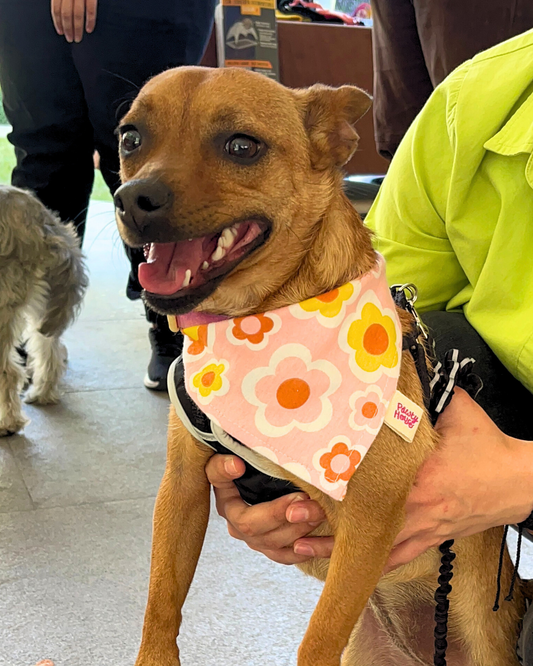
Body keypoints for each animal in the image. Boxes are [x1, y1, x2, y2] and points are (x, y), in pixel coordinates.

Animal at [113, 66, 524, 664]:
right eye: (130, 139)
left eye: (242, 146)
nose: (132, 197)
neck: (260, 322)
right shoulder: (182, 487)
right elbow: (161, 603)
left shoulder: (368, 519)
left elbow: (318, 637)